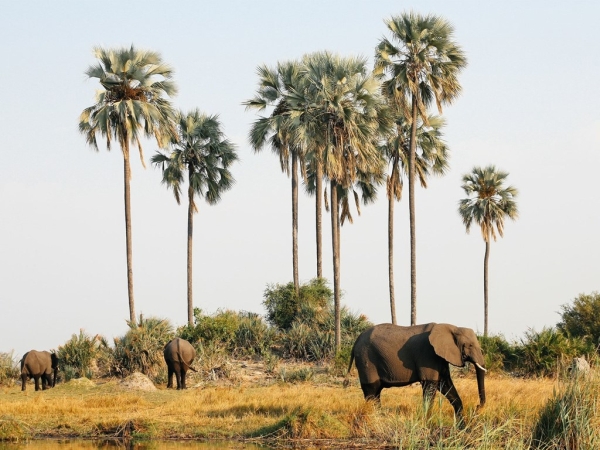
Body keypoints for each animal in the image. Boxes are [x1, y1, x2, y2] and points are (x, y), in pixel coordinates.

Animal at [344, 322, 486, 420]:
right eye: (470, 345)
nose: (477, 407)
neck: (452, 327)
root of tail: (355, 341)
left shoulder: (439, 357)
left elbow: (445, 385)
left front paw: (461, 427)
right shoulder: (428, 355)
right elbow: (430, 385)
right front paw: (427, 421)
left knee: (376, 392)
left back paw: (380, 415)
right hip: (366, 359)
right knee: (371, 391)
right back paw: (375, 416)